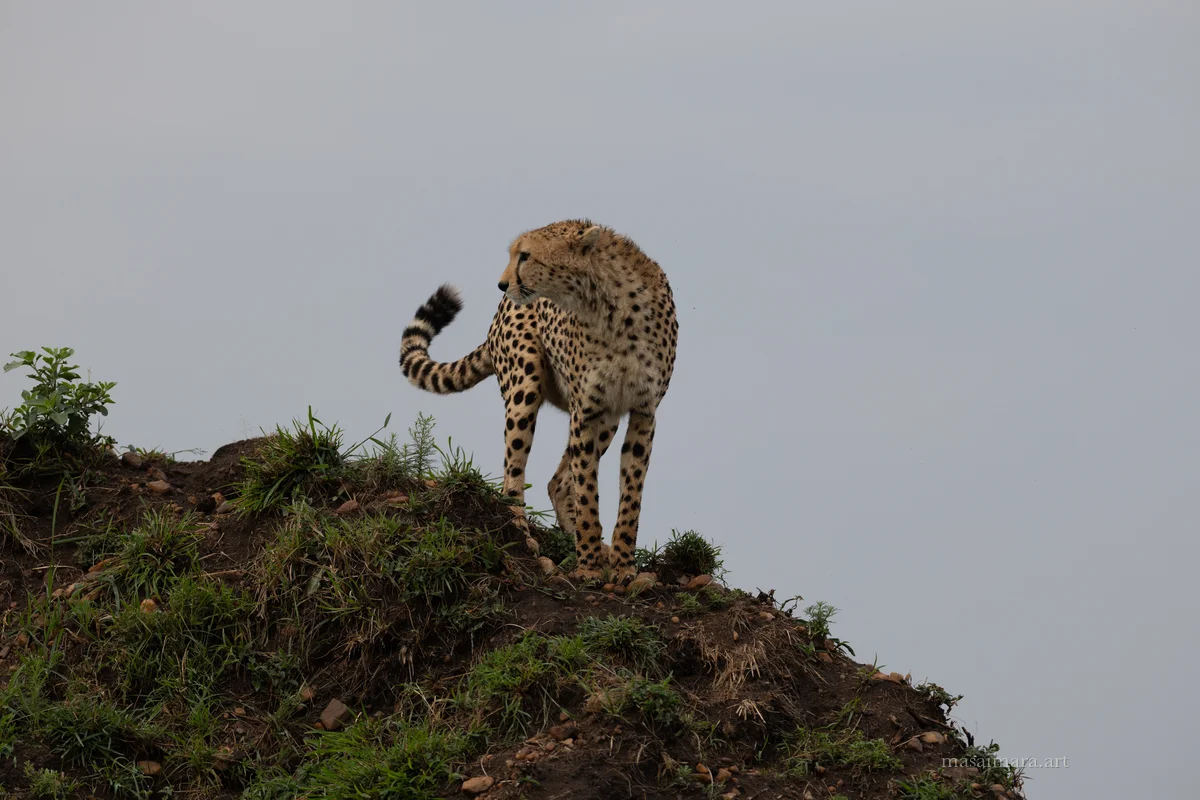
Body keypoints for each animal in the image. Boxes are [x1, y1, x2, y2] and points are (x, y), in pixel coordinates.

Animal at [399, 219, 678, 583]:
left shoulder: (642, 412)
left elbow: (630, 494)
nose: (502, 284)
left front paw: (621, 565)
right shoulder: (584, 411)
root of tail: (497, 317)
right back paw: (521, 534)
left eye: (526, 255)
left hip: (608, 420)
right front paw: (588, 566)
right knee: (512, 478)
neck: (611, 308)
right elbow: (587, 490)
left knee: (557, 483)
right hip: (525, 386)